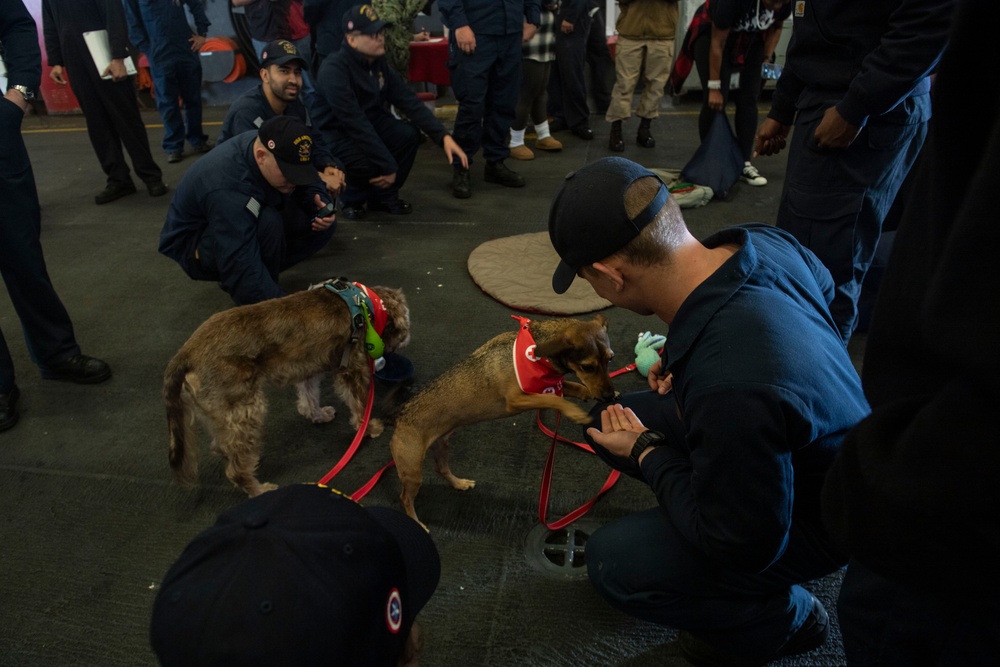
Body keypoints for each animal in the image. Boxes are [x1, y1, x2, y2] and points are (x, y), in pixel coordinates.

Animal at [163, 280, 410, 498]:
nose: (405, 339)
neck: (365, 304)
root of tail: (186, 354)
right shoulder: (352, 369)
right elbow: (359, 404)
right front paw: (368, 428)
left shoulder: (308, 367)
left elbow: (309, 397)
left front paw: (317, 415)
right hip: (245, 409)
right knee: (234, 469)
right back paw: (258, 489)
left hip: (222, 413)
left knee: (222, 445)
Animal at [390, 316, 616, 528]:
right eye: (587, 367)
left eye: (610, 360)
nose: (608, 396)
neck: (537, 354)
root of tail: (400, 416)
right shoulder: (516, 400)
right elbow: (555, 399)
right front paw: (575, 412)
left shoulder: (549, 387)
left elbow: (572, 387)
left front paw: (589, 394)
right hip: (412, 470)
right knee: (405, 498)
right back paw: (417, 522)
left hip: (441, 446)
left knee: (441, 469)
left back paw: (459, 483)